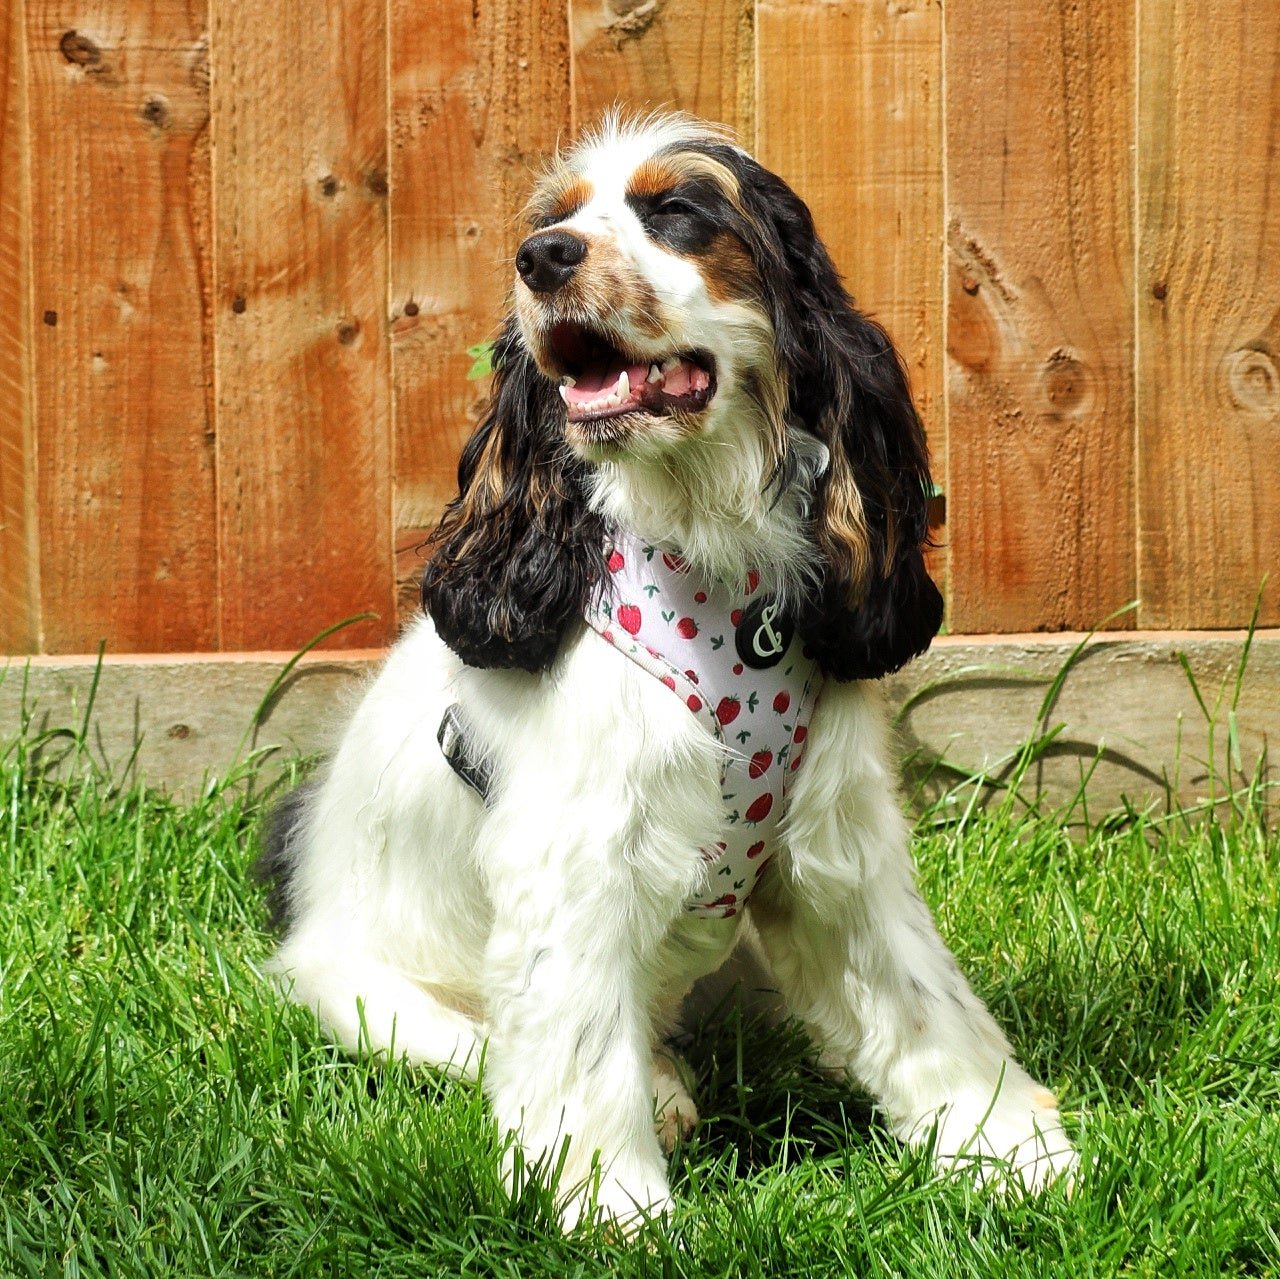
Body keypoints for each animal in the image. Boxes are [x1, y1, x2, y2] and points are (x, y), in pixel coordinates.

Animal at [262, 112, 1080, 1229]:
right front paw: (612, 1205)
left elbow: (923, 998)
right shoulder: (577, 859)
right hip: (368, 999)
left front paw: (1003, 1145)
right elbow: (575, 1049)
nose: (541, 257)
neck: (711, 564)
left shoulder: (834, 847)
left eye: (678, 213)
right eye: (554, 218)